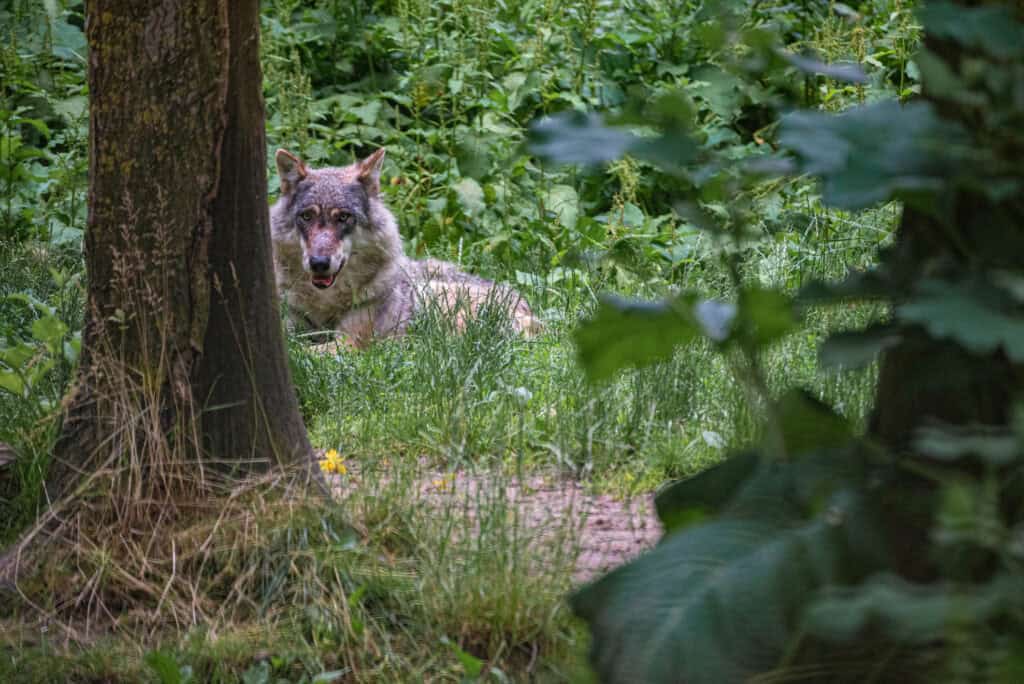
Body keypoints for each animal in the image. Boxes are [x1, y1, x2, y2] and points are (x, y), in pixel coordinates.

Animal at [269, 148, 540, 348]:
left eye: (343, 217)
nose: (318, 263)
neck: (325, 304)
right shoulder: (289, 328)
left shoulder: (349, 343)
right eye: (306, 217)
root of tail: (527, 306)